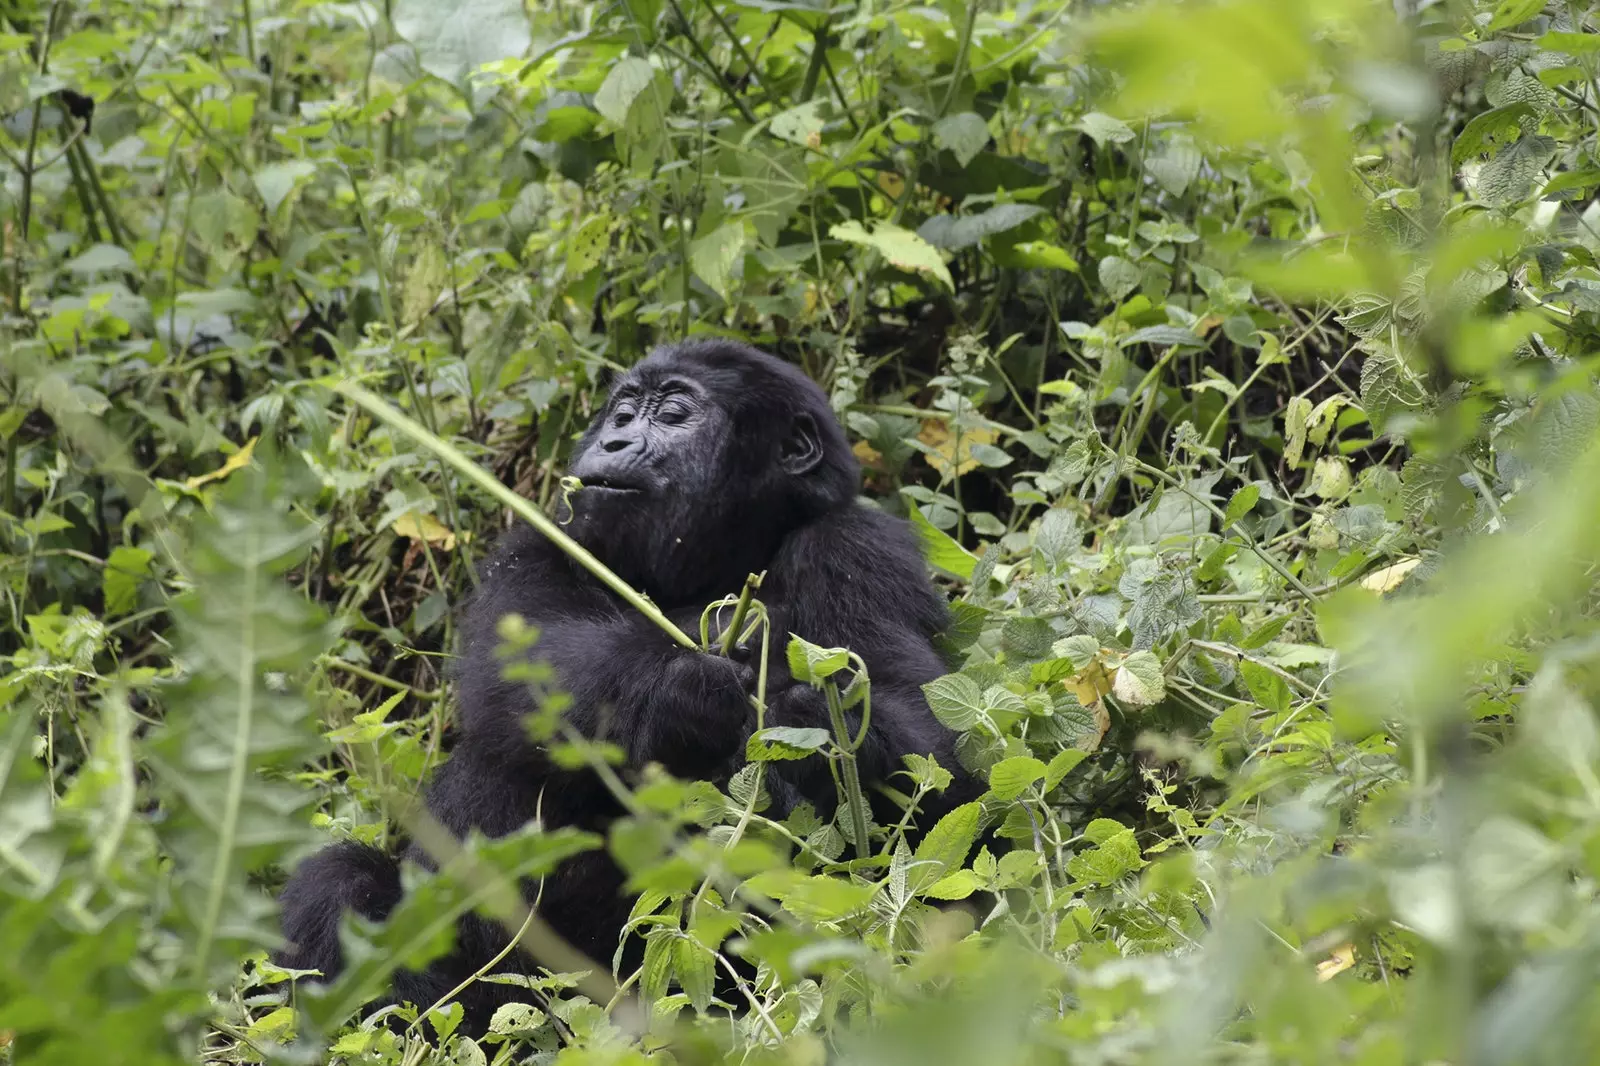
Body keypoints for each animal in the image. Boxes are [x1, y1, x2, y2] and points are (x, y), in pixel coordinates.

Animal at [275, 337, 972, 1030]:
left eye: (674, 413)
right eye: (623, 411)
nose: (612, 441)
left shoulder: (861, 547)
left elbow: (941, 764)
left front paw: (821, 727)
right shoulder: (542, 538)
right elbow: (518, 669)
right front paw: (681, 693)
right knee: (342, 880)